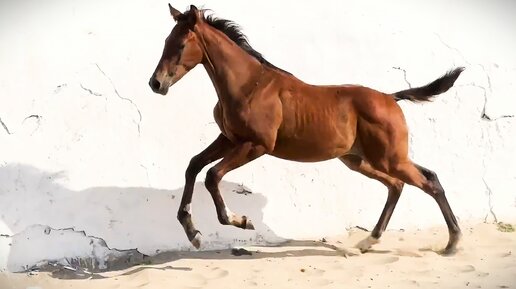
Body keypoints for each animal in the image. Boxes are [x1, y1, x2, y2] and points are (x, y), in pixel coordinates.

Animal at [148, 4, 464, 254]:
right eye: (166, 40)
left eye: (180, 45)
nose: (156, 83)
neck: (249, 84)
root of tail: (390, 97)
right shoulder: (228, 138)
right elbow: (193, 166)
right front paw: (193, 233)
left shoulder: (257, 145)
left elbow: (212, 175)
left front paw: (240, 221)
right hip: (359, 160)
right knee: (399, 184)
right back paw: (368, 242)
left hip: (388, 158)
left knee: (428, 182)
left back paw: (453, 242)